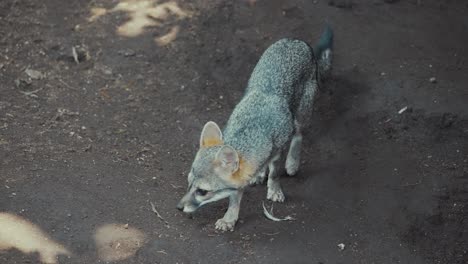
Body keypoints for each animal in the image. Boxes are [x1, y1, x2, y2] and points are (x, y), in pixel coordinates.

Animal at [176, 26, 332, 231]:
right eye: (188, 183)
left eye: (202, 191)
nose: (179, 207)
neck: (251, 131)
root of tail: (296, 40)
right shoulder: (241, 176)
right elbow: (236, 194)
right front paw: (230, 217)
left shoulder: (277, 150)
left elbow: (274, 173)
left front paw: (274, 189)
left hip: (301, 115)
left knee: (298, 135)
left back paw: (292, 162)